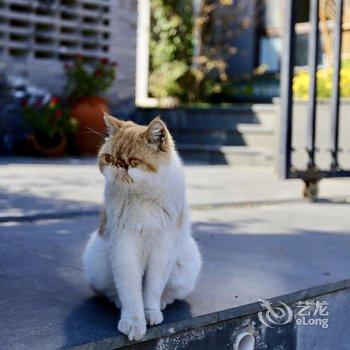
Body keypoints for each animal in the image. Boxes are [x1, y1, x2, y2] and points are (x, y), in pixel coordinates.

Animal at [83, 114, 201, 342]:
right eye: (109, 158)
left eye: (134, 162)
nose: (118, 165)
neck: (141, 199)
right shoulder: (123, 248)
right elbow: (130, 290)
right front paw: (133, 321)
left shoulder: (163, 249)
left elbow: (153, 288)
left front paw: (150, 312)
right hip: (97, 262)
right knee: (110, 291)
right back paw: (118, 302)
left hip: (186, 265)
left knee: (170, 293)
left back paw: (162, 303)